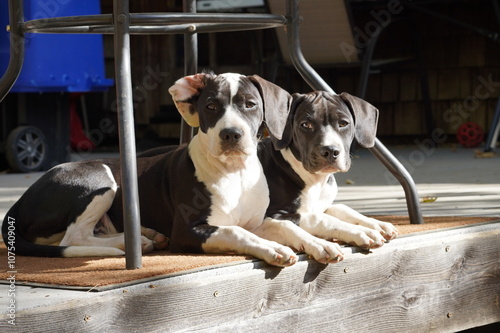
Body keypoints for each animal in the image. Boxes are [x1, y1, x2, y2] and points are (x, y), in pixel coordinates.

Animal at [260, 90, 400, 246]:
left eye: (343, 123)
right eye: (306, 124)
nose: (331, 151)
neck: (315, 182)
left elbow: (342, 208)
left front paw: (376, 223)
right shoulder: (271, 215)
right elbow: (320, 218)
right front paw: (361, 231)